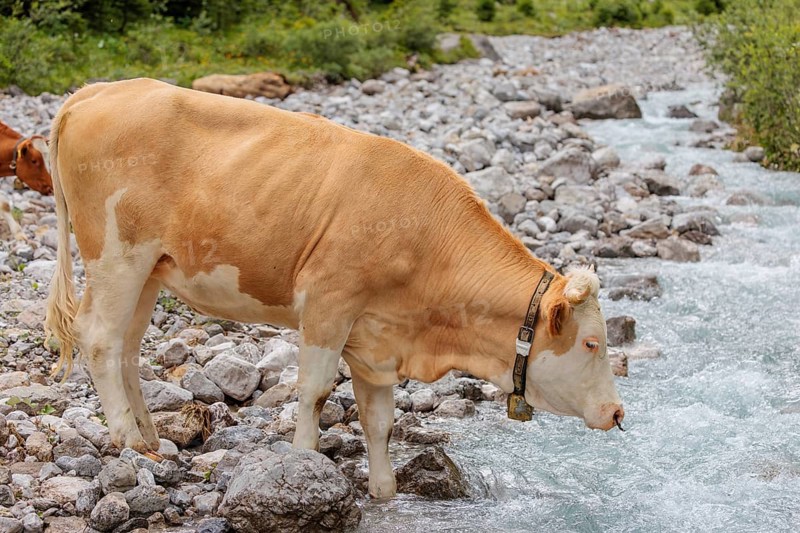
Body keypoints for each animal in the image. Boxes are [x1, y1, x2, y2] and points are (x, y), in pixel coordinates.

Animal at [45, 78, 624, 499]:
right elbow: (317, 392)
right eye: (592, 343)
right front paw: (304, 465)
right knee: (99, 337)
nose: (619, 413)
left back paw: (149, 437)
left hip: (150, 270)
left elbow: (380, 420)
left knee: (127, 346)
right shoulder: (329, 303)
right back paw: (126, 438)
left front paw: (384, 489)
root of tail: (99, 90)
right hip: (117, 255)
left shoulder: (377, 335)